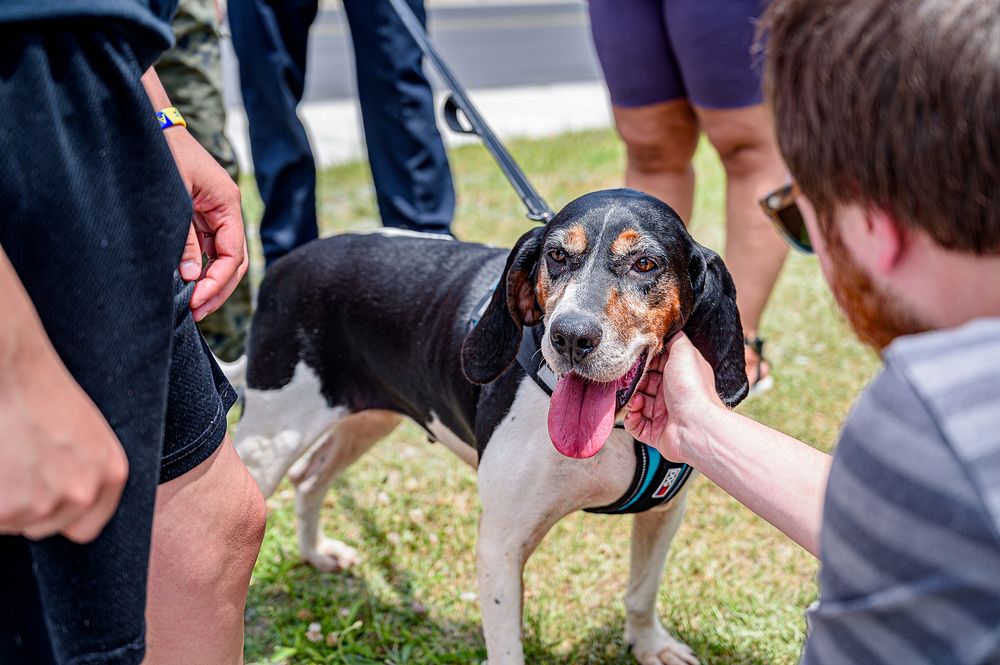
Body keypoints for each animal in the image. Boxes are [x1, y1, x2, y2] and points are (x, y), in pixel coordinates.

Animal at [230, 188, 748, 664]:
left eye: (645, 263)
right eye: (556, 256)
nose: (570, 337)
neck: (616, 433)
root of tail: (283, 266)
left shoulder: (665, 511)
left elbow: (642, 591)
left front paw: (649, 645)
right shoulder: (501, 545)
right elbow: (506, 647)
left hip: (366, 419)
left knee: (309, 479)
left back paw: (316, 553)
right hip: (269, 442)